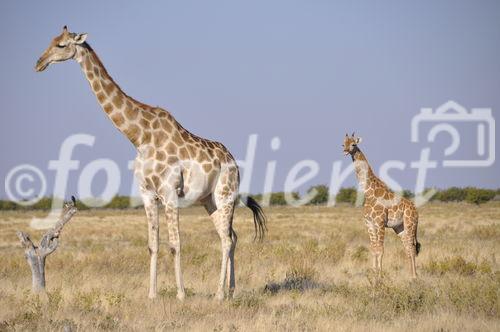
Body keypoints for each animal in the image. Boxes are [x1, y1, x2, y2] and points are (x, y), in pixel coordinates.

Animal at [34, 26, 266, 300]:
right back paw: (230, 290)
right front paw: (152, 295)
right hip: (208, 200)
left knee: (227, 239)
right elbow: (152, 245)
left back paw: (220, 294)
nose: (39, 63)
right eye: (51, 40)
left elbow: (175, 244)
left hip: (225, 194)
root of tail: (233, 161)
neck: (140, 137)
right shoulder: (147, 194)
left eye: (61, 45)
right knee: (230, 236)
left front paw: (181, 295)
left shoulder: (169, 193)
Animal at [342, 133, 420, 278]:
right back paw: (410, 275)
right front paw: (374, 273)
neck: (368, 193)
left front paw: (380, 275)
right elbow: (374, 248)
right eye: (343, 143)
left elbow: (381, 249)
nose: (344, 151)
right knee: (407, 247)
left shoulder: (380, 223)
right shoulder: (369, 223)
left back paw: (414, 276)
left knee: (412, 247)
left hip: (410, 224)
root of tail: (416, 210)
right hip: (399, 227)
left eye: (353, 144)